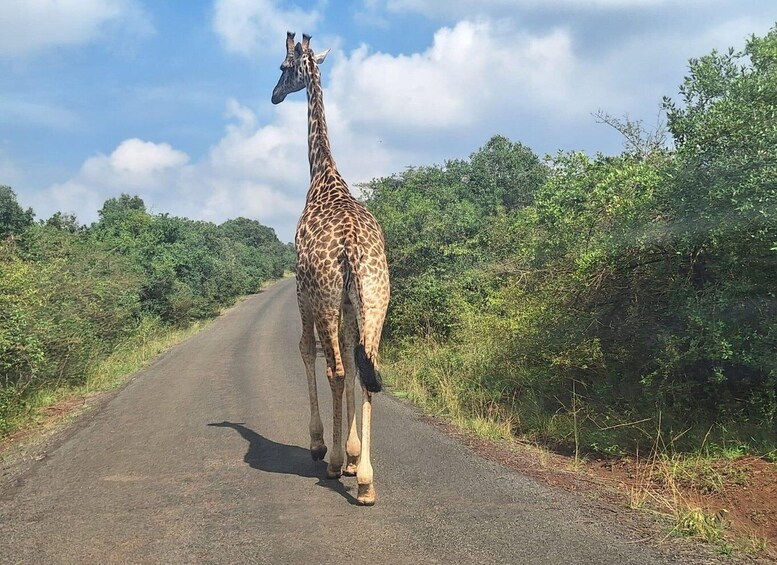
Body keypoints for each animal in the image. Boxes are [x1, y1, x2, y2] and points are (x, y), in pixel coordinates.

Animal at [271, 32, 390, 506]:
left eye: (283, 67)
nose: (273, 95)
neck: (323, 174)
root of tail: (354, 248)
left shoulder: (304, 293)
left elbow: (307, 351)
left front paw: (324, 446)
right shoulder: (350, 304)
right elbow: (359, 371)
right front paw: (356, 456)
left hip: (324, 299)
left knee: (336, 369)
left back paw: (336, 464)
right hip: (376, 300)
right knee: (368, 368)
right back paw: (367, 481)